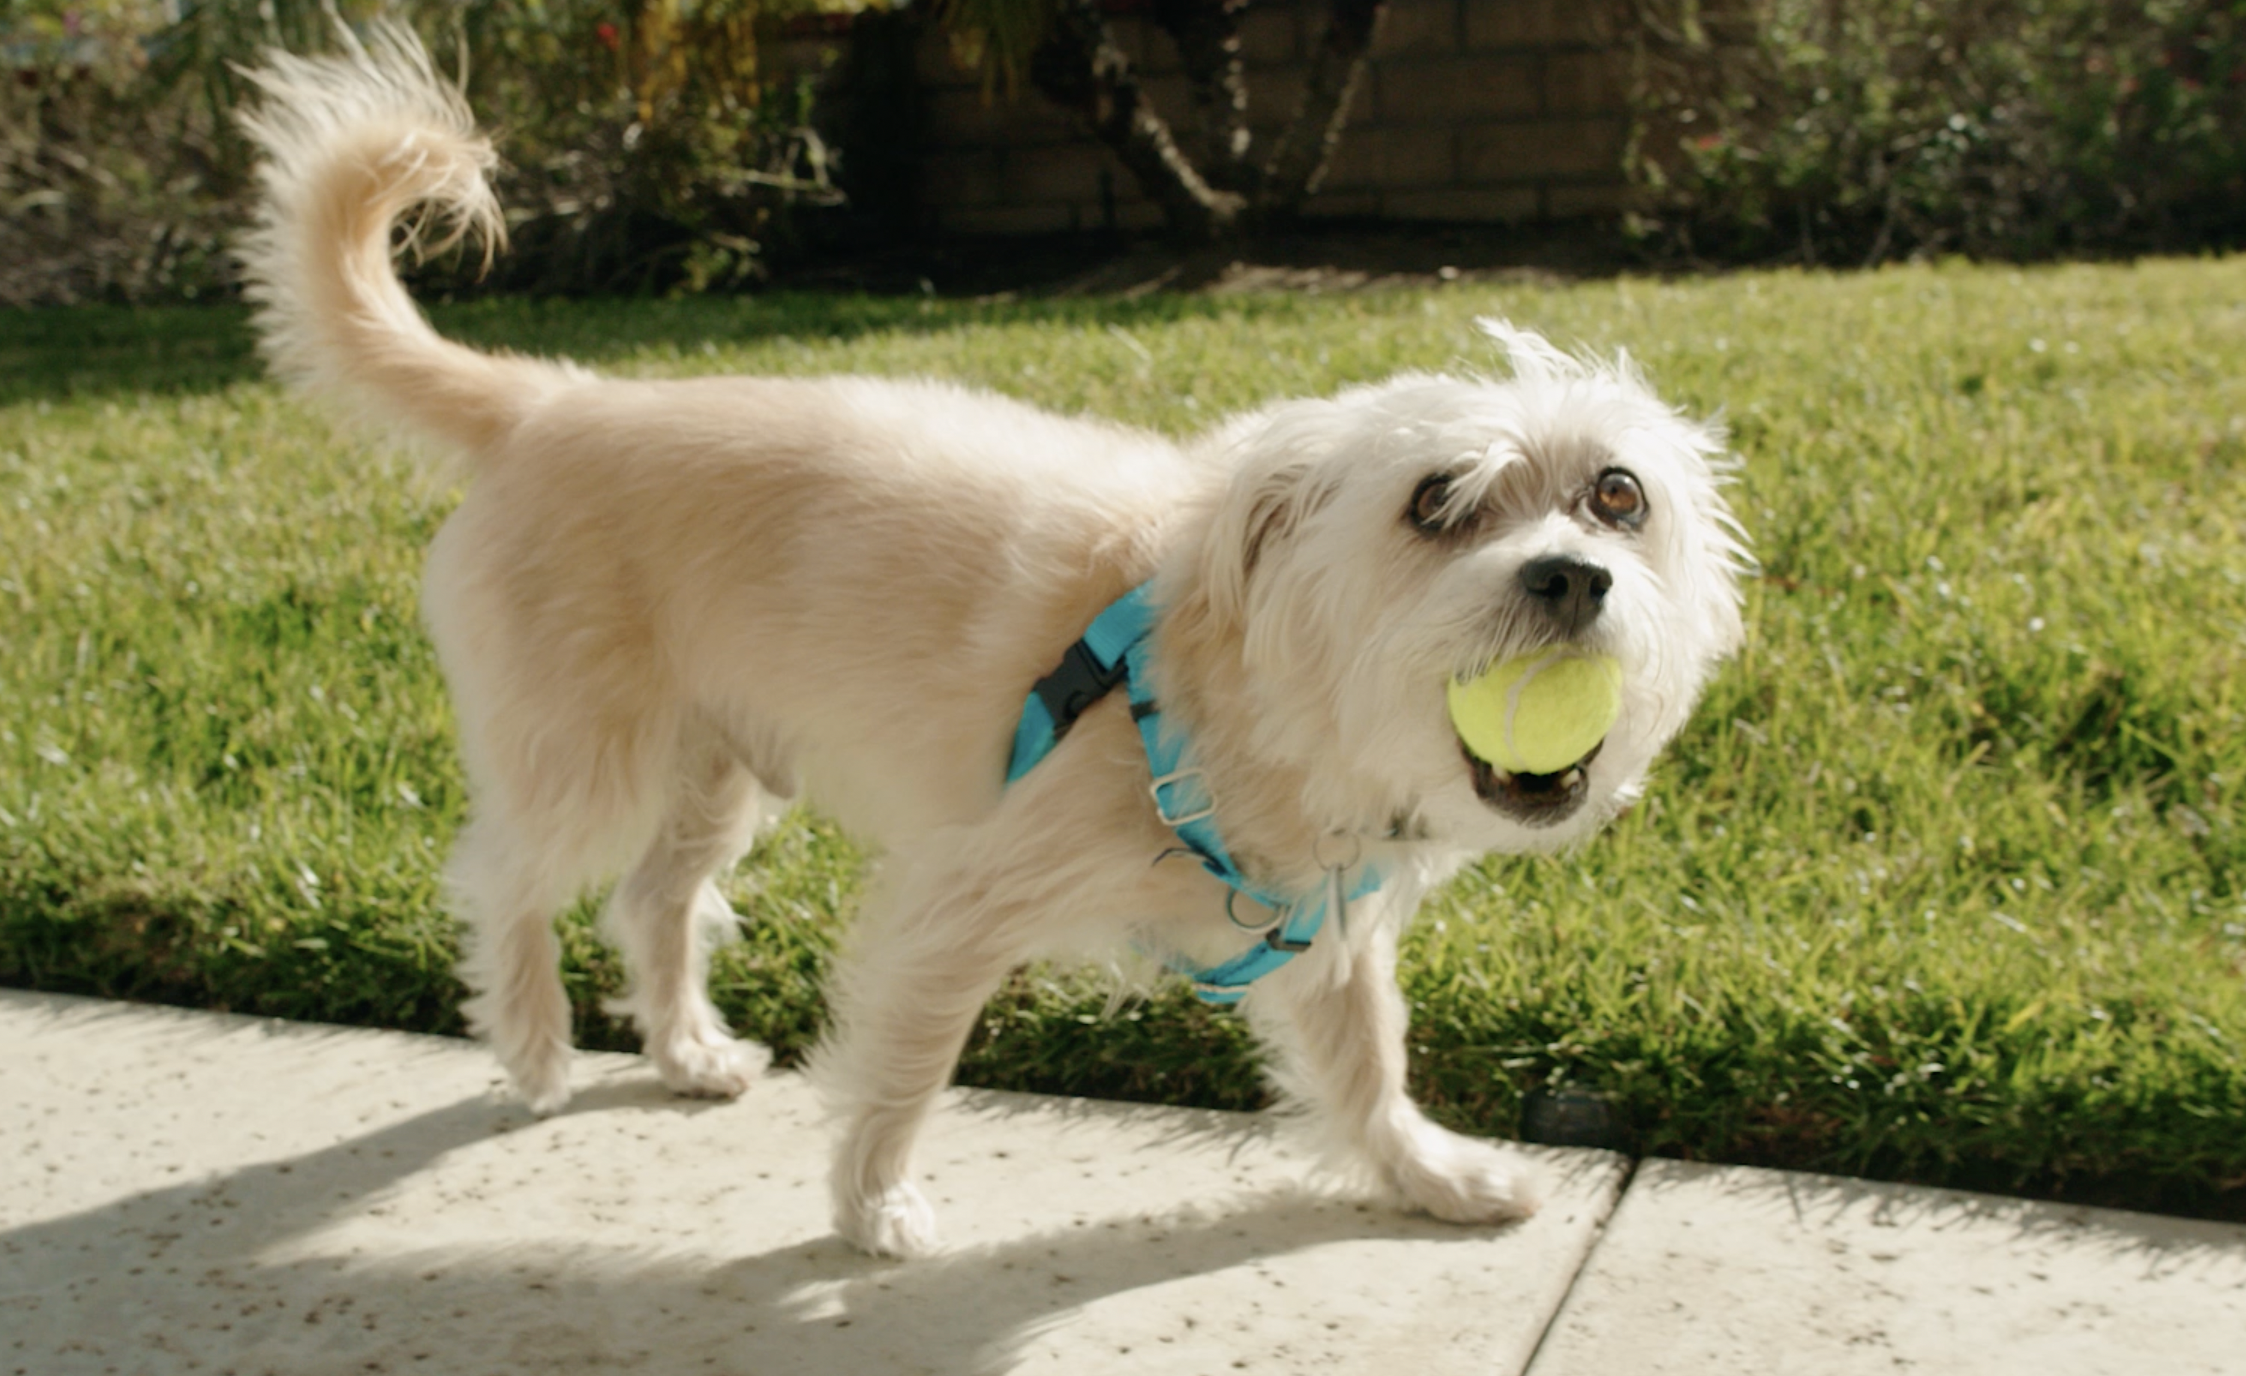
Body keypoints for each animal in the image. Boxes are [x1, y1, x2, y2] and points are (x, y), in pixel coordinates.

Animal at [245, 29, 1751, 1257]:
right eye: (1436, 503)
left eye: (1616, 495)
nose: (1573, 578)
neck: (1231, 691)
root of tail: (551, 403)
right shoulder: (955, 902)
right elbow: (906, 1067)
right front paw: (871, 1209)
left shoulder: (1321, 934)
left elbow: (1365, 1063)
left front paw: (1424, 1177)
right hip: (586, 760)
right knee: (504, 878)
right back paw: (535, 1045)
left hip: (712, 772)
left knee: (653, 900)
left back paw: (681, 1046)